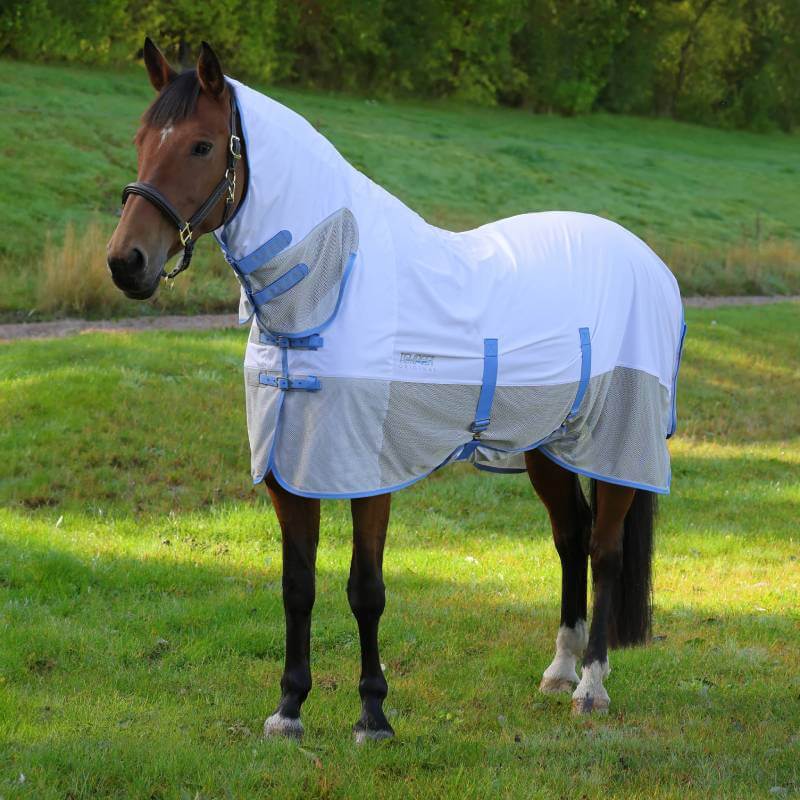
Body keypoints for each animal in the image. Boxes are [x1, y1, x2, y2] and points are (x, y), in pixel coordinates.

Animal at [107, 39, 685, 742]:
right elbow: (297, 586)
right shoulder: (288, 472)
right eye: (141, 138)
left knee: (603, 550)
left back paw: (592, 686)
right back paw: (559, 670)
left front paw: (373, 714)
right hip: (549, 446)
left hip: (616, 444)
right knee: (571, 538)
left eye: (201, 145)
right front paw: (289, 709)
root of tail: (648, 260)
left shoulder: (367, 471)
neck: (329, 291)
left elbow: (366, 589)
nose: (126, 262)